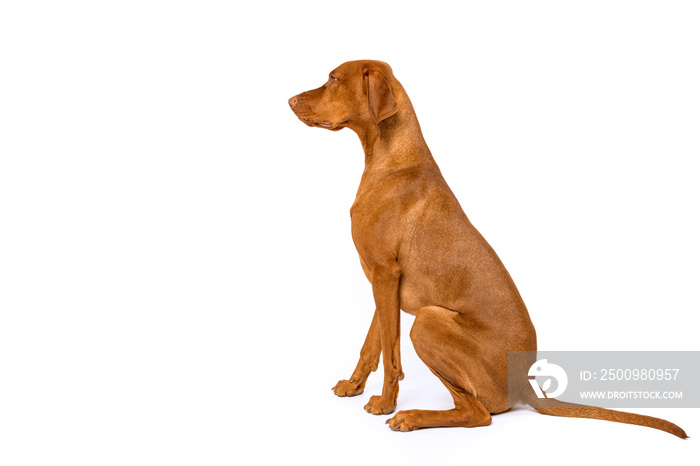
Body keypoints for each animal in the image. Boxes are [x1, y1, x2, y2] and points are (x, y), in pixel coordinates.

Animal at [288, 59, 688, 436]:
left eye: (333, 78)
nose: (289, 101)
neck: (391, 158)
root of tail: (524, 385)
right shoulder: (382, 279)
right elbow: (374, 344)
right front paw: (354, 385)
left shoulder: (385, 273)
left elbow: (391, 355)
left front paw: (385, 403)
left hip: (428, 321)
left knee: (478, 413)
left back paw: (410, 416)